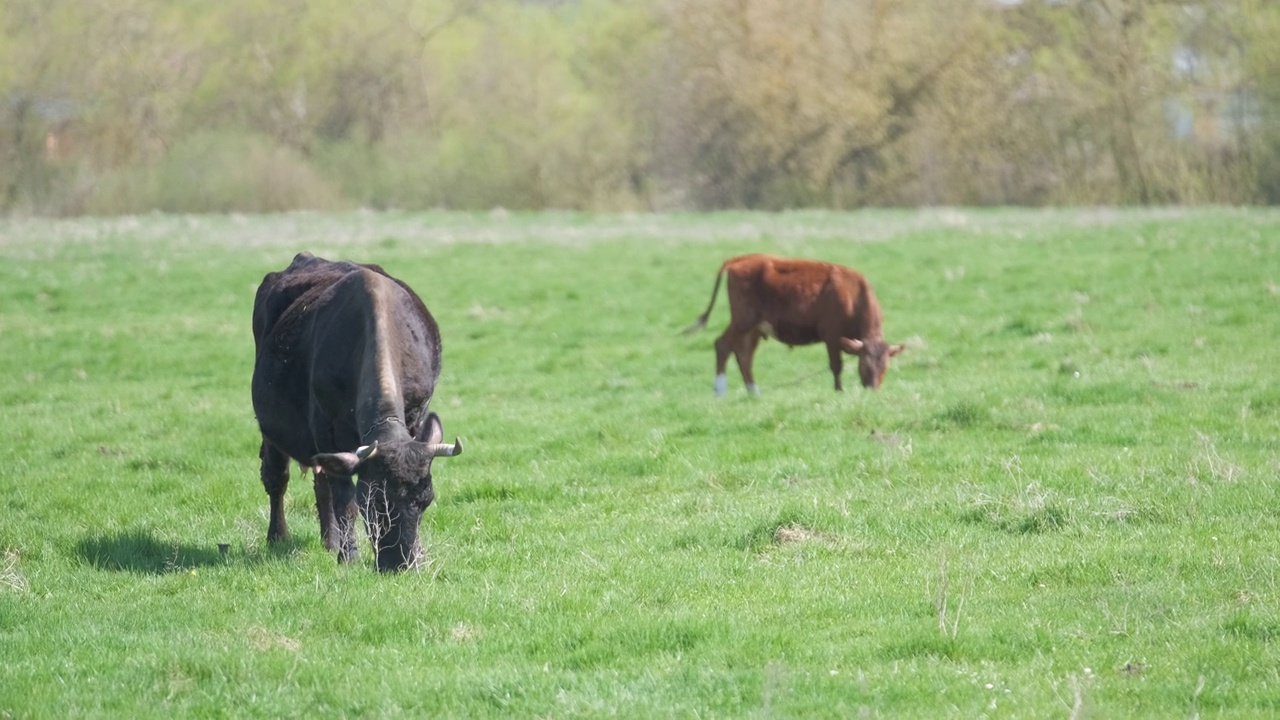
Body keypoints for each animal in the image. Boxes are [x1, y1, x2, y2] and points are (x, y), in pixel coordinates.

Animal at [248, 249, 460, 568]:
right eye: (373, 502)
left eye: (426, 500)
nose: (401, 564)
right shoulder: (326, 428)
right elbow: (344, 498)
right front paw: (348, 555)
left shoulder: (416, 418)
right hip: (272, 429)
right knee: (277, 477)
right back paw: (278, 536)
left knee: (321, 482)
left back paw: (329, 540)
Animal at [686, 253, 906, 392]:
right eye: (864, 365)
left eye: (885, 367)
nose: (873, 390)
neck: (854, 296)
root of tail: (741, 259)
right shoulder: (832, 335)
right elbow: (836, 366)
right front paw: (838, 391)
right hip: (743, 319)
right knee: (723, 345)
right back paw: (720, 390)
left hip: (754, 327)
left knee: (743, 355)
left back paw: (753, 392)